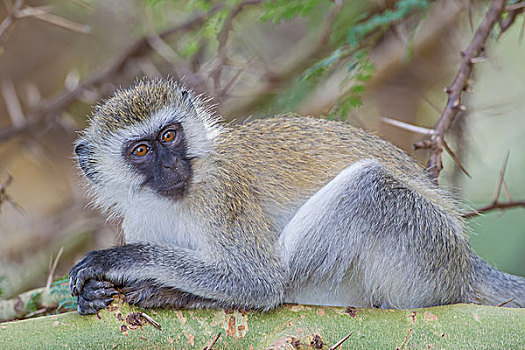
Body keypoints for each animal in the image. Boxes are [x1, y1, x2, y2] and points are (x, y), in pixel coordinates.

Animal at [69, 78, 524, 314]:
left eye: (169, 136)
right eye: (141, 151)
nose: (170, 165)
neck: (171, 199)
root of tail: (467, 263)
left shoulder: (222, 192)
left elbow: (256, 280)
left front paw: (119, 260)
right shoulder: (138, 217)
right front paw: (94, 291)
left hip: (429, 251)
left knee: (366, 189)